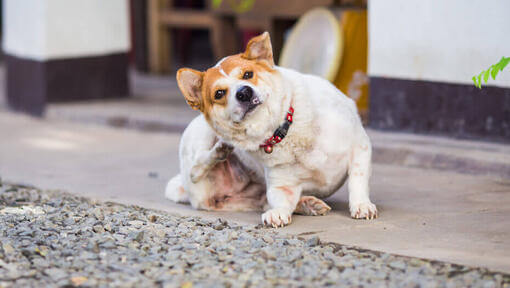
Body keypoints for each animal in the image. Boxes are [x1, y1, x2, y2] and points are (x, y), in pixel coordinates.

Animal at [165, 32, 376, 227]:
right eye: (219, 93)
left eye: (248, 74)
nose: (244, 92)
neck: (283, 129)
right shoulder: (282, 186)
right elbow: (281, 202)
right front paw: (279, 213)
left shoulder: (360, 146)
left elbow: (357, 180)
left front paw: (361, 205)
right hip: (200, 144)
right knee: (196, 168)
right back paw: (219, 152)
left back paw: (307, 204)